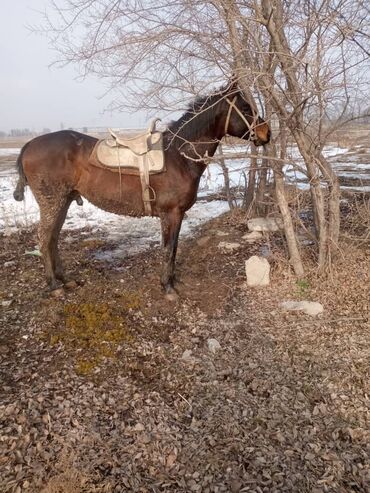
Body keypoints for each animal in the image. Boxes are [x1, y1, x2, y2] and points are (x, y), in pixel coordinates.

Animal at [13, 82, 268, 296]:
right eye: (246, 108)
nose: (267, 133)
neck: (178, 156)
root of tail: (29, 145)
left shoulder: (177, 215)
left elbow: (174, 249)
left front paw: (172, 281)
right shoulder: (171, 214)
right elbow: (168, 249)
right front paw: (167, 287)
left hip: (63, 201)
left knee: (53, 239)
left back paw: (65, 280)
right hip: (52, 202)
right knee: (44, 239)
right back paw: (54, 285)